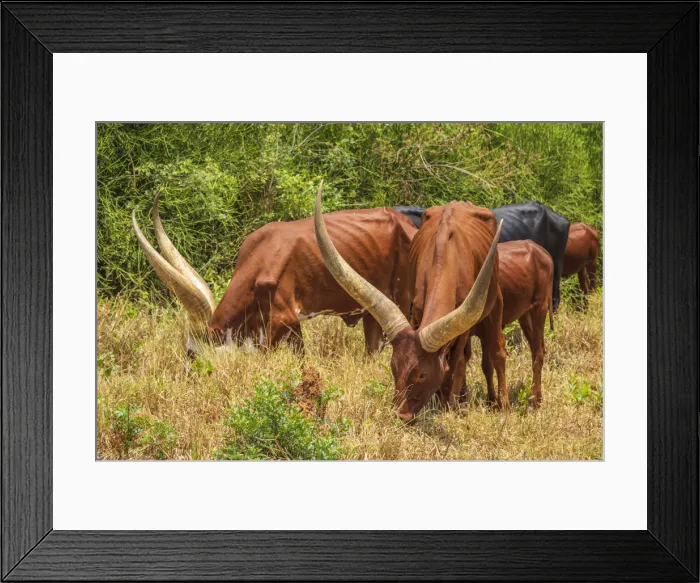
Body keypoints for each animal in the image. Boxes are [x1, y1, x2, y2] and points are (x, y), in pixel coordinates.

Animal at [132, 195, 417, 355]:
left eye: (192, 354)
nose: (187, 376)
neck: (259, 259)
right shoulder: (287, 324)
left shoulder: (283, 318)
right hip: (372, 310)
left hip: (402, 302)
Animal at [316, 184, 507, 421]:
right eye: (393, 367)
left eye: (422, 374)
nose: (401, 415)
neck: (446, 260)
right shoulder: (417, 312)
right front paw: (441, 401)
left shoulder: (463, 326)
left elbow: (456, 363)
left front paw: (449, 405)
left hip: (494, 303)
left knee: (495, 353)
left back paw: (500, 404)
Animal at [463, 240, 554, 408]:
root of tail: (541, 250)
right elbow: (485, 365)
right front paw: (491, 400)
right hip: (525, 315)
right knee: (538, 349)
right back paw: (538, 397)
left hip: (540, 307)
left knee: (538, 353)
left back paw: (533, 403)